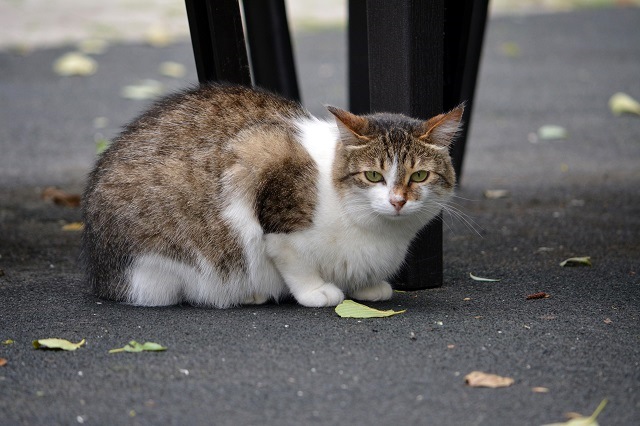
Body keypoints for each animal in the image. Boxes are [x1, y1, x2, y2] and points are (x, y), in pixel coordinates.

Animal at [82, 83, 462, 308]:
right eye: (373, 176)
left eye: (419, 175)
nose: (398, 201)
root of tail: (101, 273)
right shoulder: (262, 158)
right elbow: (293, 260)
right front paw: (315, 291)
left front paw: (366, 285)